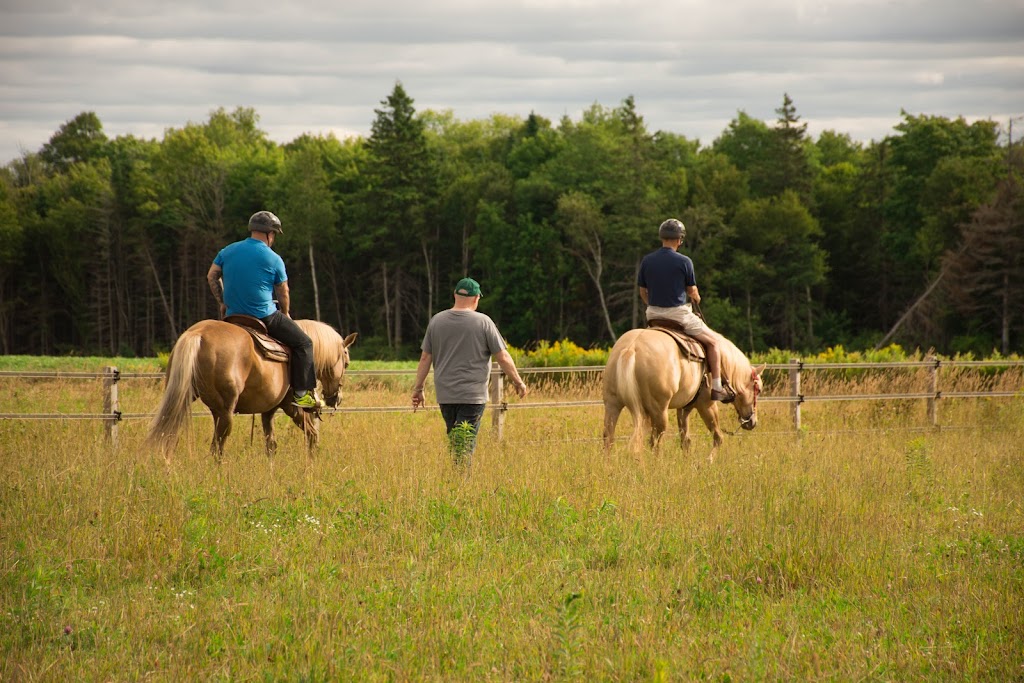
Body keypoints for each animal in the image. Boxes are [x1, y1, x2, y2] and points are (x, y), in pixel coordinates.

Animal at [146, 319, 358, 458]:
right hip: (225, 412)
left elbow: (271, 445)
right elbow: (312, 435)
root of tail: (197, 334)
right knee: (217, 447)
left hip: (184, 399)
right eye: (346, 363)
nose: (335, 398)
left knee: (168, 433)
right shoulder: (292, 407)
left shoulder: (268, 411)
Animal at [602, 327, 765, 462]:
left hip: (612, 405)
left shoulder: (684, 409)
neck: (723, 365)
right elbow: (718, 437)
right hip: (659, 412)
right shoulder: (706, 406)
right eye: (758, 390)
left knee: (608, 437)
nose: (752, 422)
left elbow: (685, 440)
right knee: (655, 442)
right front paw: (708, 460)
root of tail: (631, 348)